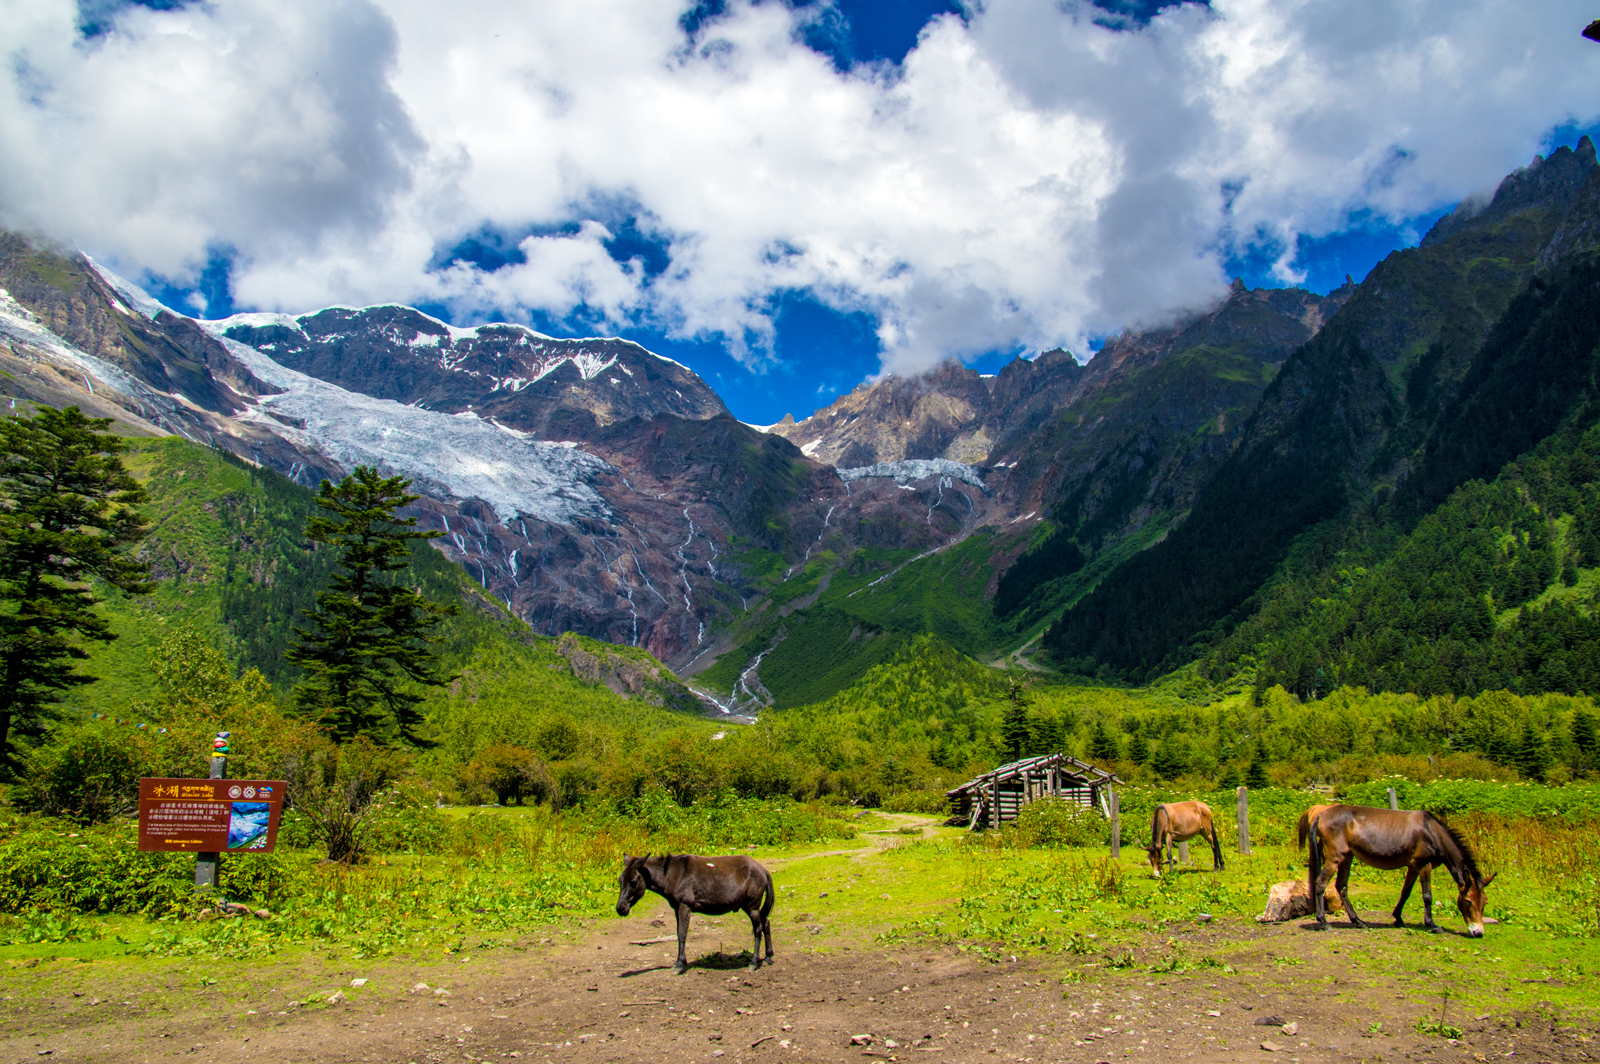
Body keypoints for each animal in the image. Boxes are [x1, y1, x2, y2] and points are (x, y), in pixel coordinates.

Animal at [611, 857, 774, 972]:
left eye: (633, 881)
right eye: (620, 880)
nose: (620, 908)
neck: (673, 875)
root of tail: (762, 869)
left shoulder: (685, 906)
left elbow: (682, 934)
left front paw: (679, 965)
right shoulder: (677, 908)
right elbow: (678, 934)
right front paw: (680, 962)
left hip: (752, 907)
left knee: (758, 929)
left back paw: (754, 962)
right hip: (748, 907)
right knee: (766, 923)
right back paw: (768, 957)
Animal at [1305, 806, 1491, 940]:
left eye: (1484, 902)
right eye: (1468, 901)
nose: (1479, 932)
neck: (1431, 831)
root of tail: (1320, 815)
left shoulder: (1414, 867)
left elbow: (1406, 892)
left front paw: (1398, 918)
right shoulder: (1424, 865)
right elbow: (1427, 896)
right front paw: (1432, 924)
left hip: (1347, 857)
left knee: (1341, 887)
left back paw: (1358, 921)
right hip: (1335, 857)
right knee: (1320, 883)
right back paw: (1324, 922)